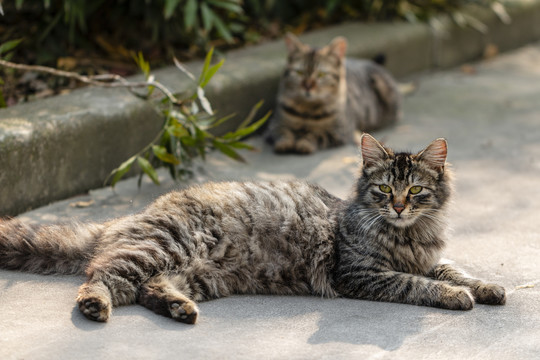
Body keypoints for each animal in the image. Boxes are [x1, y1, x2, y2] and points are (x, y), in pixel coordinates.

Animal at [1, 134, 506, 324]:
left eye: (415, 191)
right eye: (384, 190)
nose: (399, 208)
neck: (409, 236)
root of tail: (129, 216)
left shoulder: (430, 256)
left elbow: (455, 269)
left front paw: (488, 287)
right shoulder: (361, 273)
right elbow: (417, 284)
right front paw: (456, 297)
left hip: (193, 273)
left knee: (145, 289)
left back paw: (180, 310)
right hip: (160, 249)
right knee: (102, 276)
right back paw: (94, 306)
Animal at [266, 34, 400, 156]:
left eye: (321, 74)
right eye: (299, 72)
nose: (307, 86)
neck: (308, 111)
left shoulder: (338, 133)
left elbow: (316, 135)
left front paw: (304, 142)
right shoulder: (274, 126)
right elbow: (283, 132)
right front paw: (285, 142)